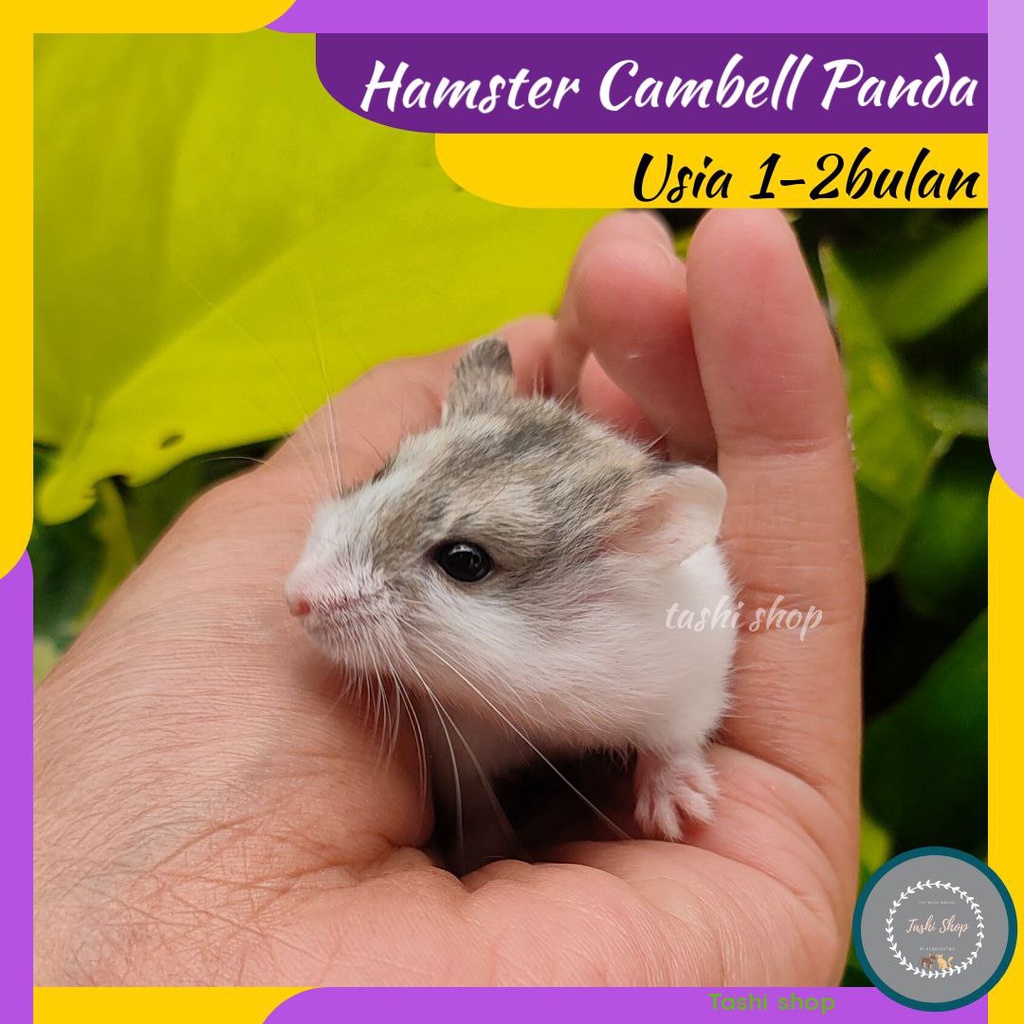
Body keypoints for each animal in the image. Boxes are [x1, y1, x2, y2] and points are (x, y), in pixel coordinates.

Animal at [286, 337, 737, 866]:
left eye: (465, 561)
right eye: (380, 472)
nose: (293, 598)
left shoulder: (693, 680)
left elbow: (674, 739)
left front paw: (682, 816)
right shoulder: (456, 747)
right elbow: (474, 796)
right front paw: (485, 852)